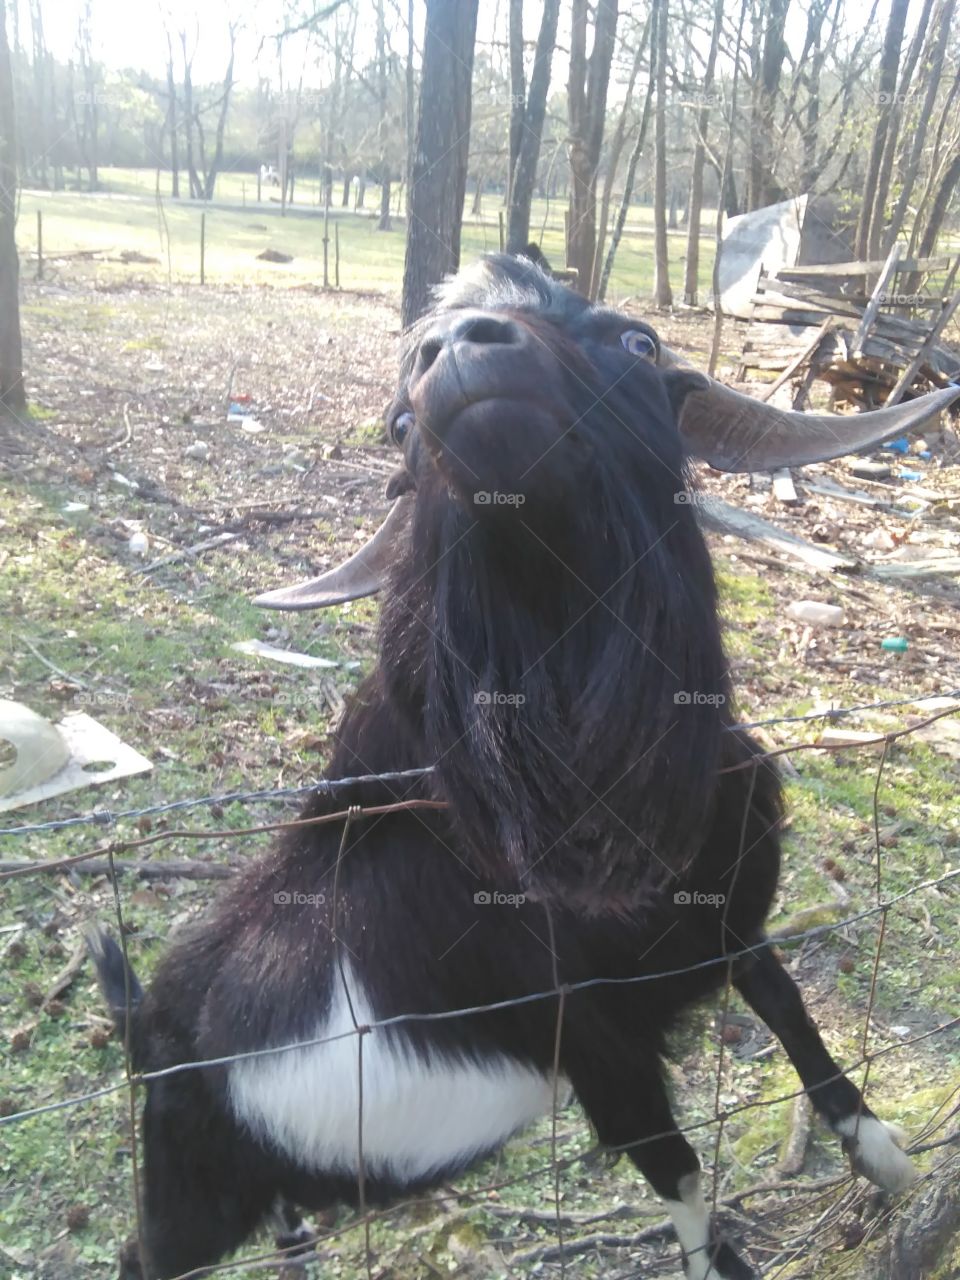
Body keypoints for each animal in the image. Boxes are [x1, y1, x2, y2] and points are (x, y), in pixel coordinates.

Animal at [91, 255, 956, 1280]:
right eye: (399, 425)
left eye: (638, 342)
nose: (454, 349)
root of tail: (146, 1025)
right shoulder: (592, 1037)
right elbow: (676, 1166)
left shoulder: (728, 925)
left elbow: (792, 1011)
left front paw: (890, 1161)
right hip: (192, 1189)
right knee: (144, 1252)